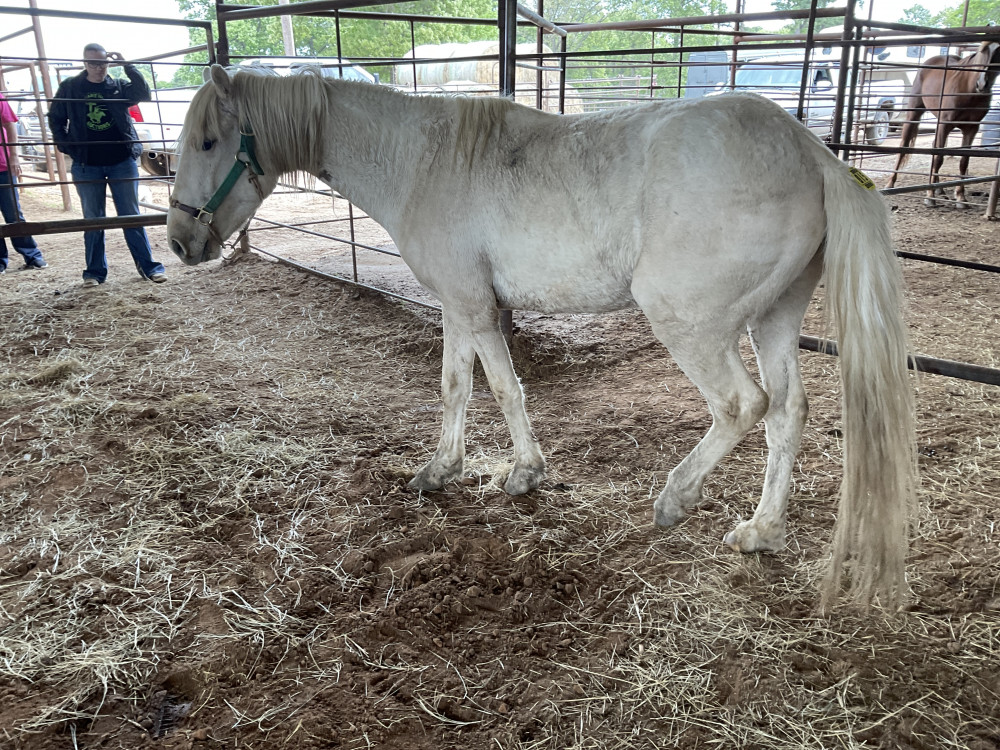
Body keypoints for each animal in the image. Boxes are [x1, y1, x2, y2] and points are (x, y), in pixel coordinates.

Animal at [167, 65, 916, 607]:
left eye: (207, 142)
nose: (179, 242)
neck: (423, 161)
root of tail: (812, 153)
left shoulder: (475, 308)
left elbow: (502, 388)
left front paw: (522, 474)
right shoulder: (457, 306)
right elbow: (455, 386)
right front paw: (441, 470)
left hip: (690, 322)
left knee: (742, 406)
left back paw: (676, 497)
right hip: (774, 320)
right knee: (788, 414)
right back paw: (762, 531)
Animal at [886, 40, 1000, 207]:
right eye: (982, 51)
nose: (982, 84)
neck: (968, 90)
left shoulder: (971, 128)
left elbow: (963, 161)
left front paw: (961, 197)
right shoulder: (945, 124)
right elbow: (939, 158)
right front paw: (930, 196)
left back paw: (940, 188)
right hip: (914, 114)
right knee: (904, 147)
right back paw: (890, 184)